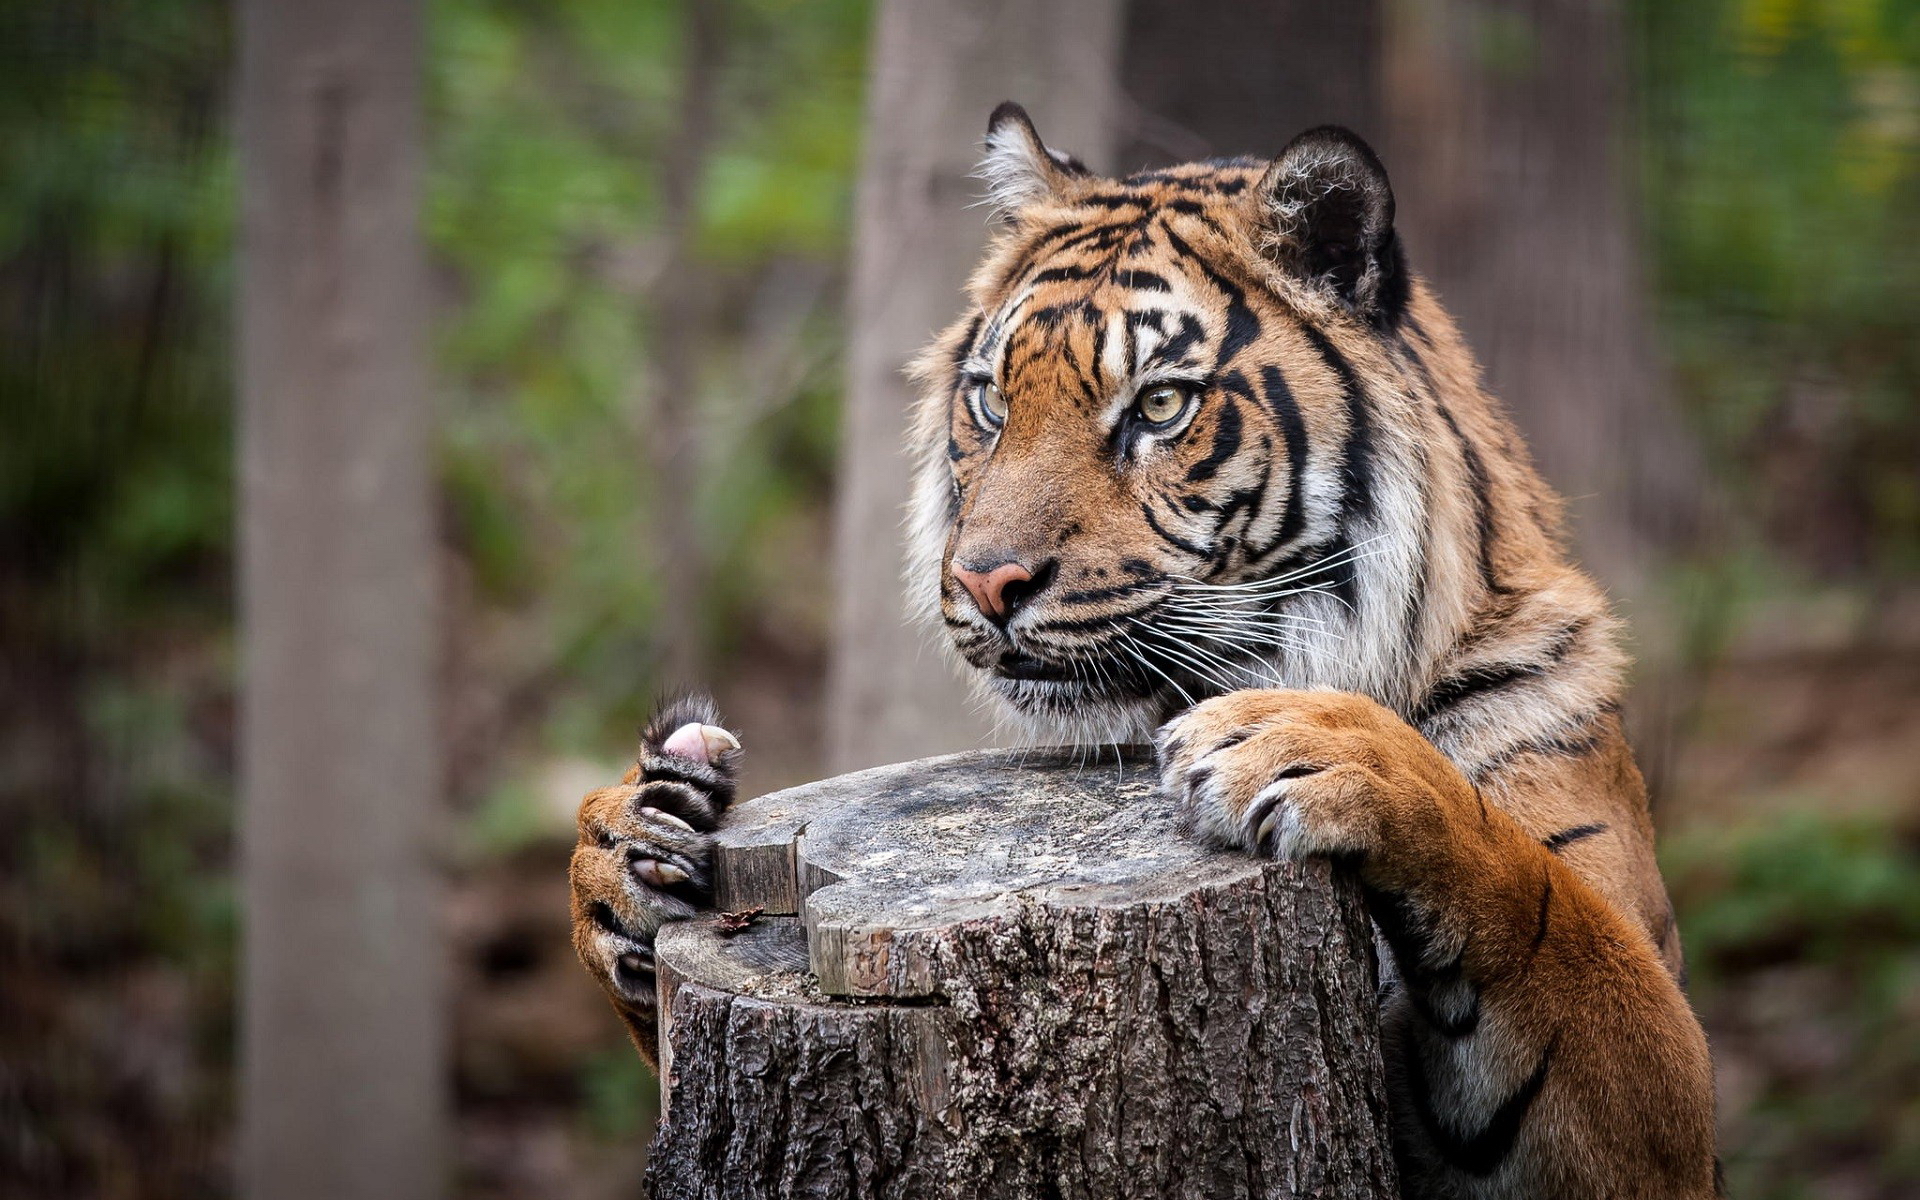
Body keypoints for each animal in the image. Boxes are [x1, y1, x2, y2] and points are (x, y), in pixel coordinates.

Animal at [572, 105, 1728, 1198]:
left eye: (1161, 405)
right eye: (990, 400)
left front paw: (1319, 745)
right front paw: (634, 834)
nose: (985, 581)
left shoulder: (1663, 1098)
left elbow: (1545, 902)